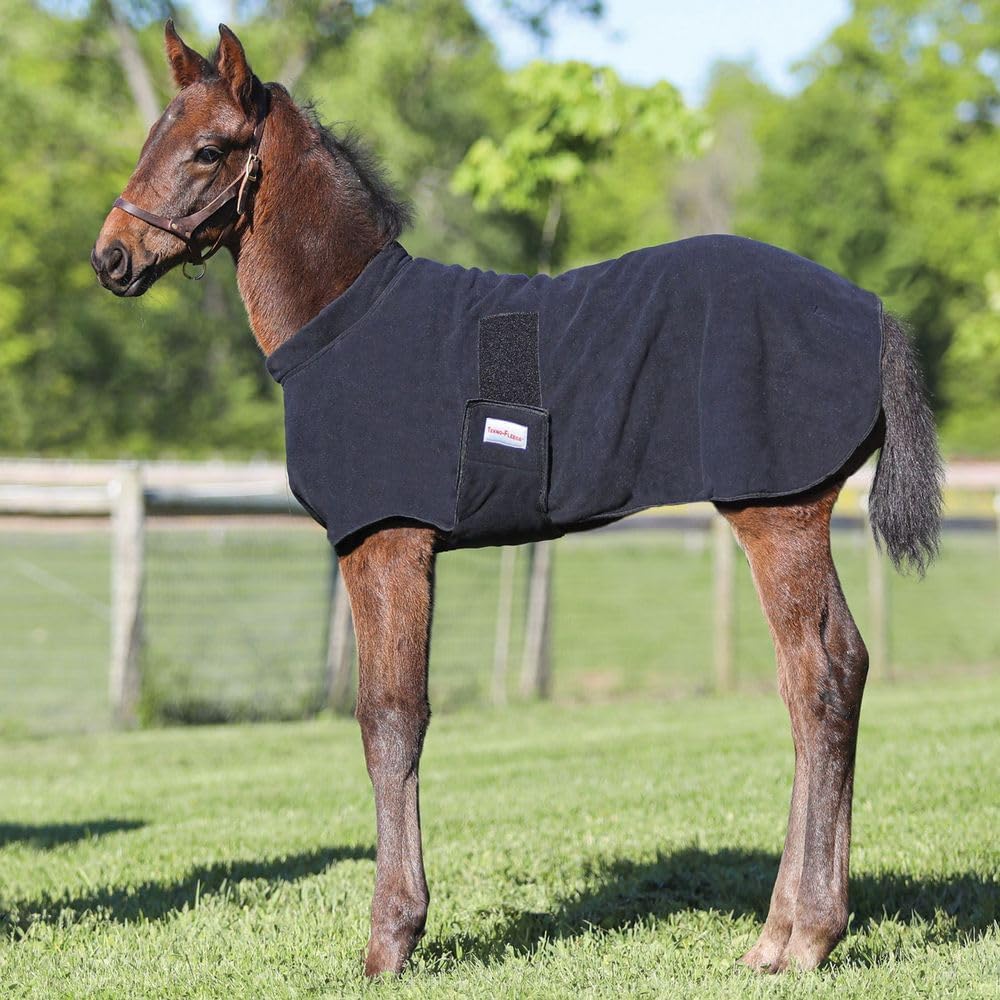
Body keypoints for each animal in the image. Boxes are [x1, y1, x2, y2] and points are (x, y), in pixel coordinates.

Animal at [93, 22, 942, 978]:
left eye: (207, 149)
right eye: (150, 139)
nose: (110, 257)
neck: (347, 321)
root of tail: (873, 313)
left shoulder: (388, 541)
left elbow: (391, 719)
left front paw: (391, 938)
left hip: (778, 513)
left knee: (820, 677)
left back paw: (798, 935)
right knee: (834, 671)